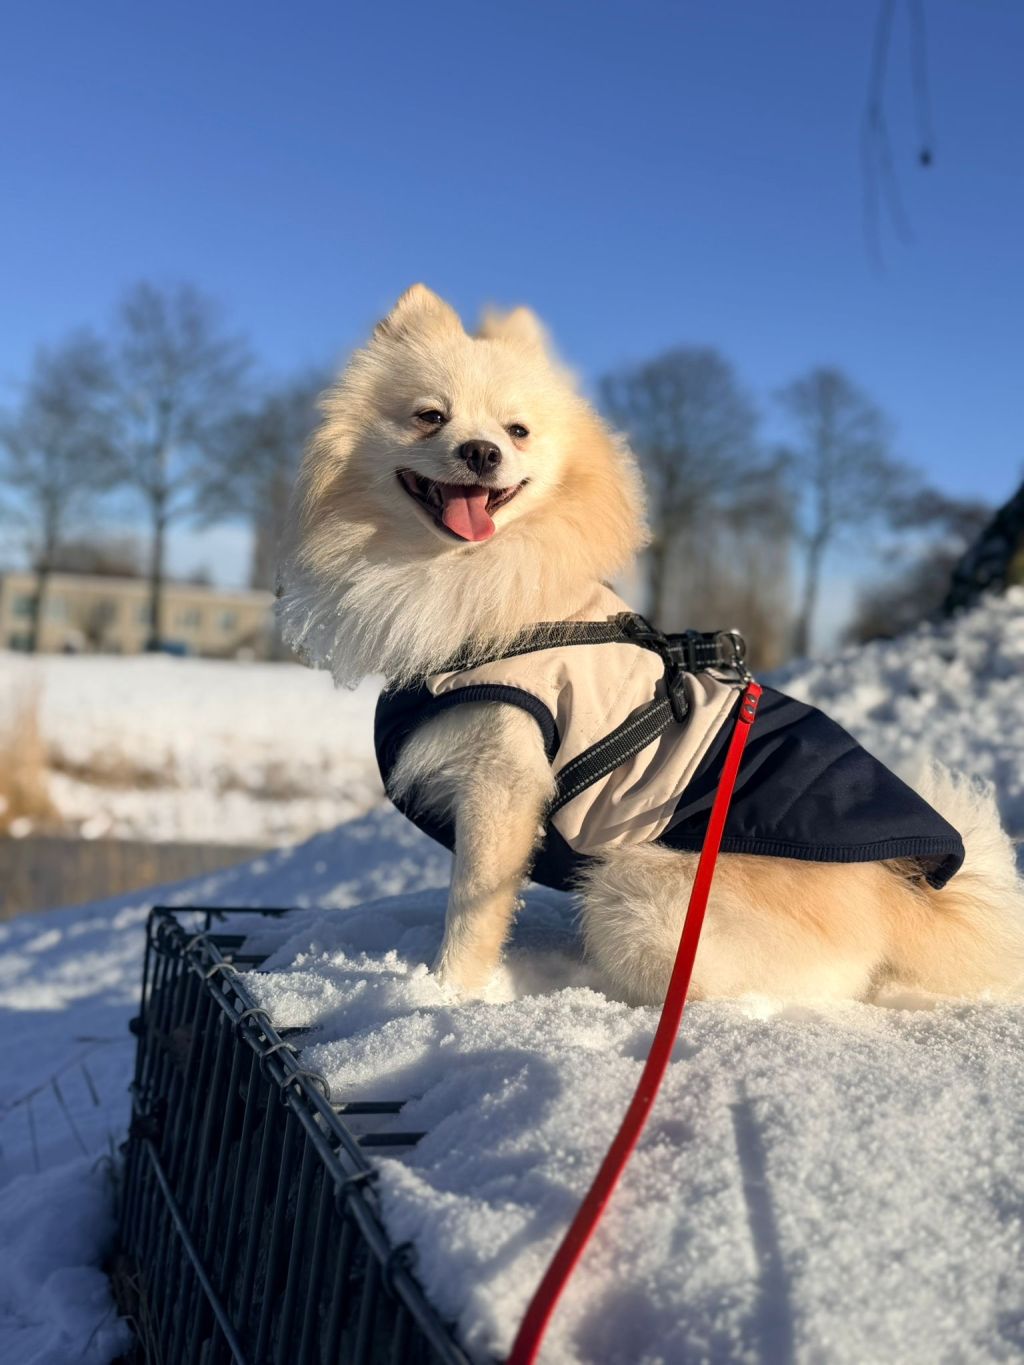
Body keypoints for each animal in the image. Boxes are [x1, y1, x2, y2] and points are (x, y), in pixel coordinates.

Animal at [278, 284, 1024, 1004]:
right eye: (430, 416)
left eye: (517, 432)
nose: (483, 453)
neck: (475, 577)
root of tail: (899, 901)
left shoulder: (502, 778)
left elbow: (472, 908)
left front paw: (447, 994)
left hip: (636, 895)